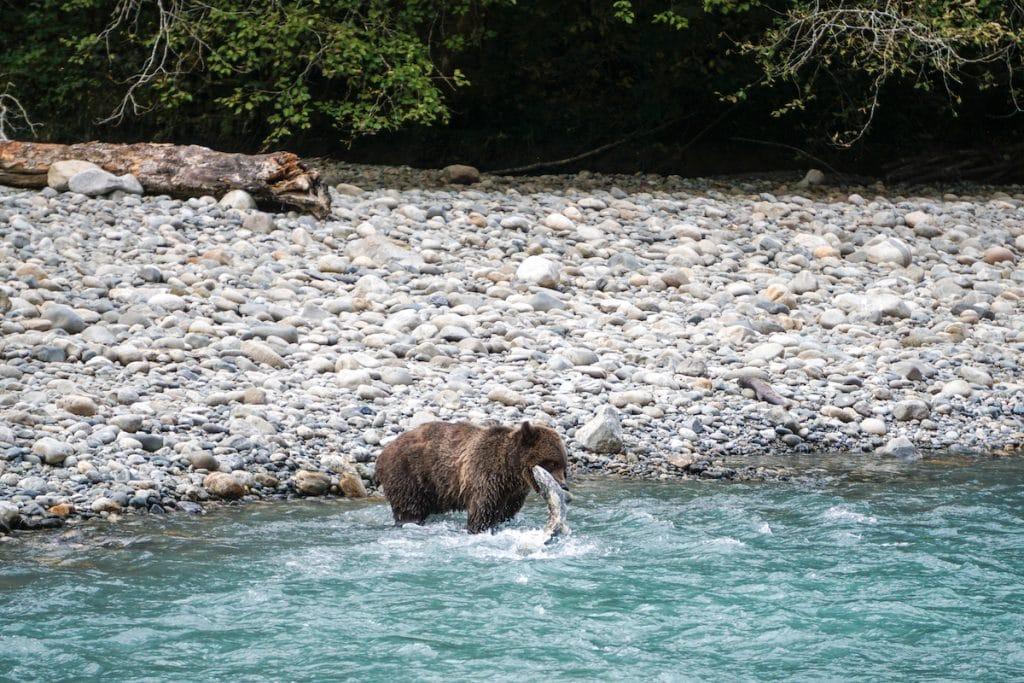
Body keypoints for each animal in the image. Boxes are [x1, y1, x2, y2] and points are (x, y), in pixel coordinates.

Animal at [375, 420, 569, 533]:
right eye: (551, 463)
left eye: (564, 465)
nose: (563, 486)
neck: (510, 470)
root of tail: (383, 452)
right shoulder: (486, 477)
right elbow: (483, 512)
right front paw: (478, 528)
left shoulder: (513, 493)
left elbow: (506, 512)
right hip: (410, 475)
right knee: (409, 507)